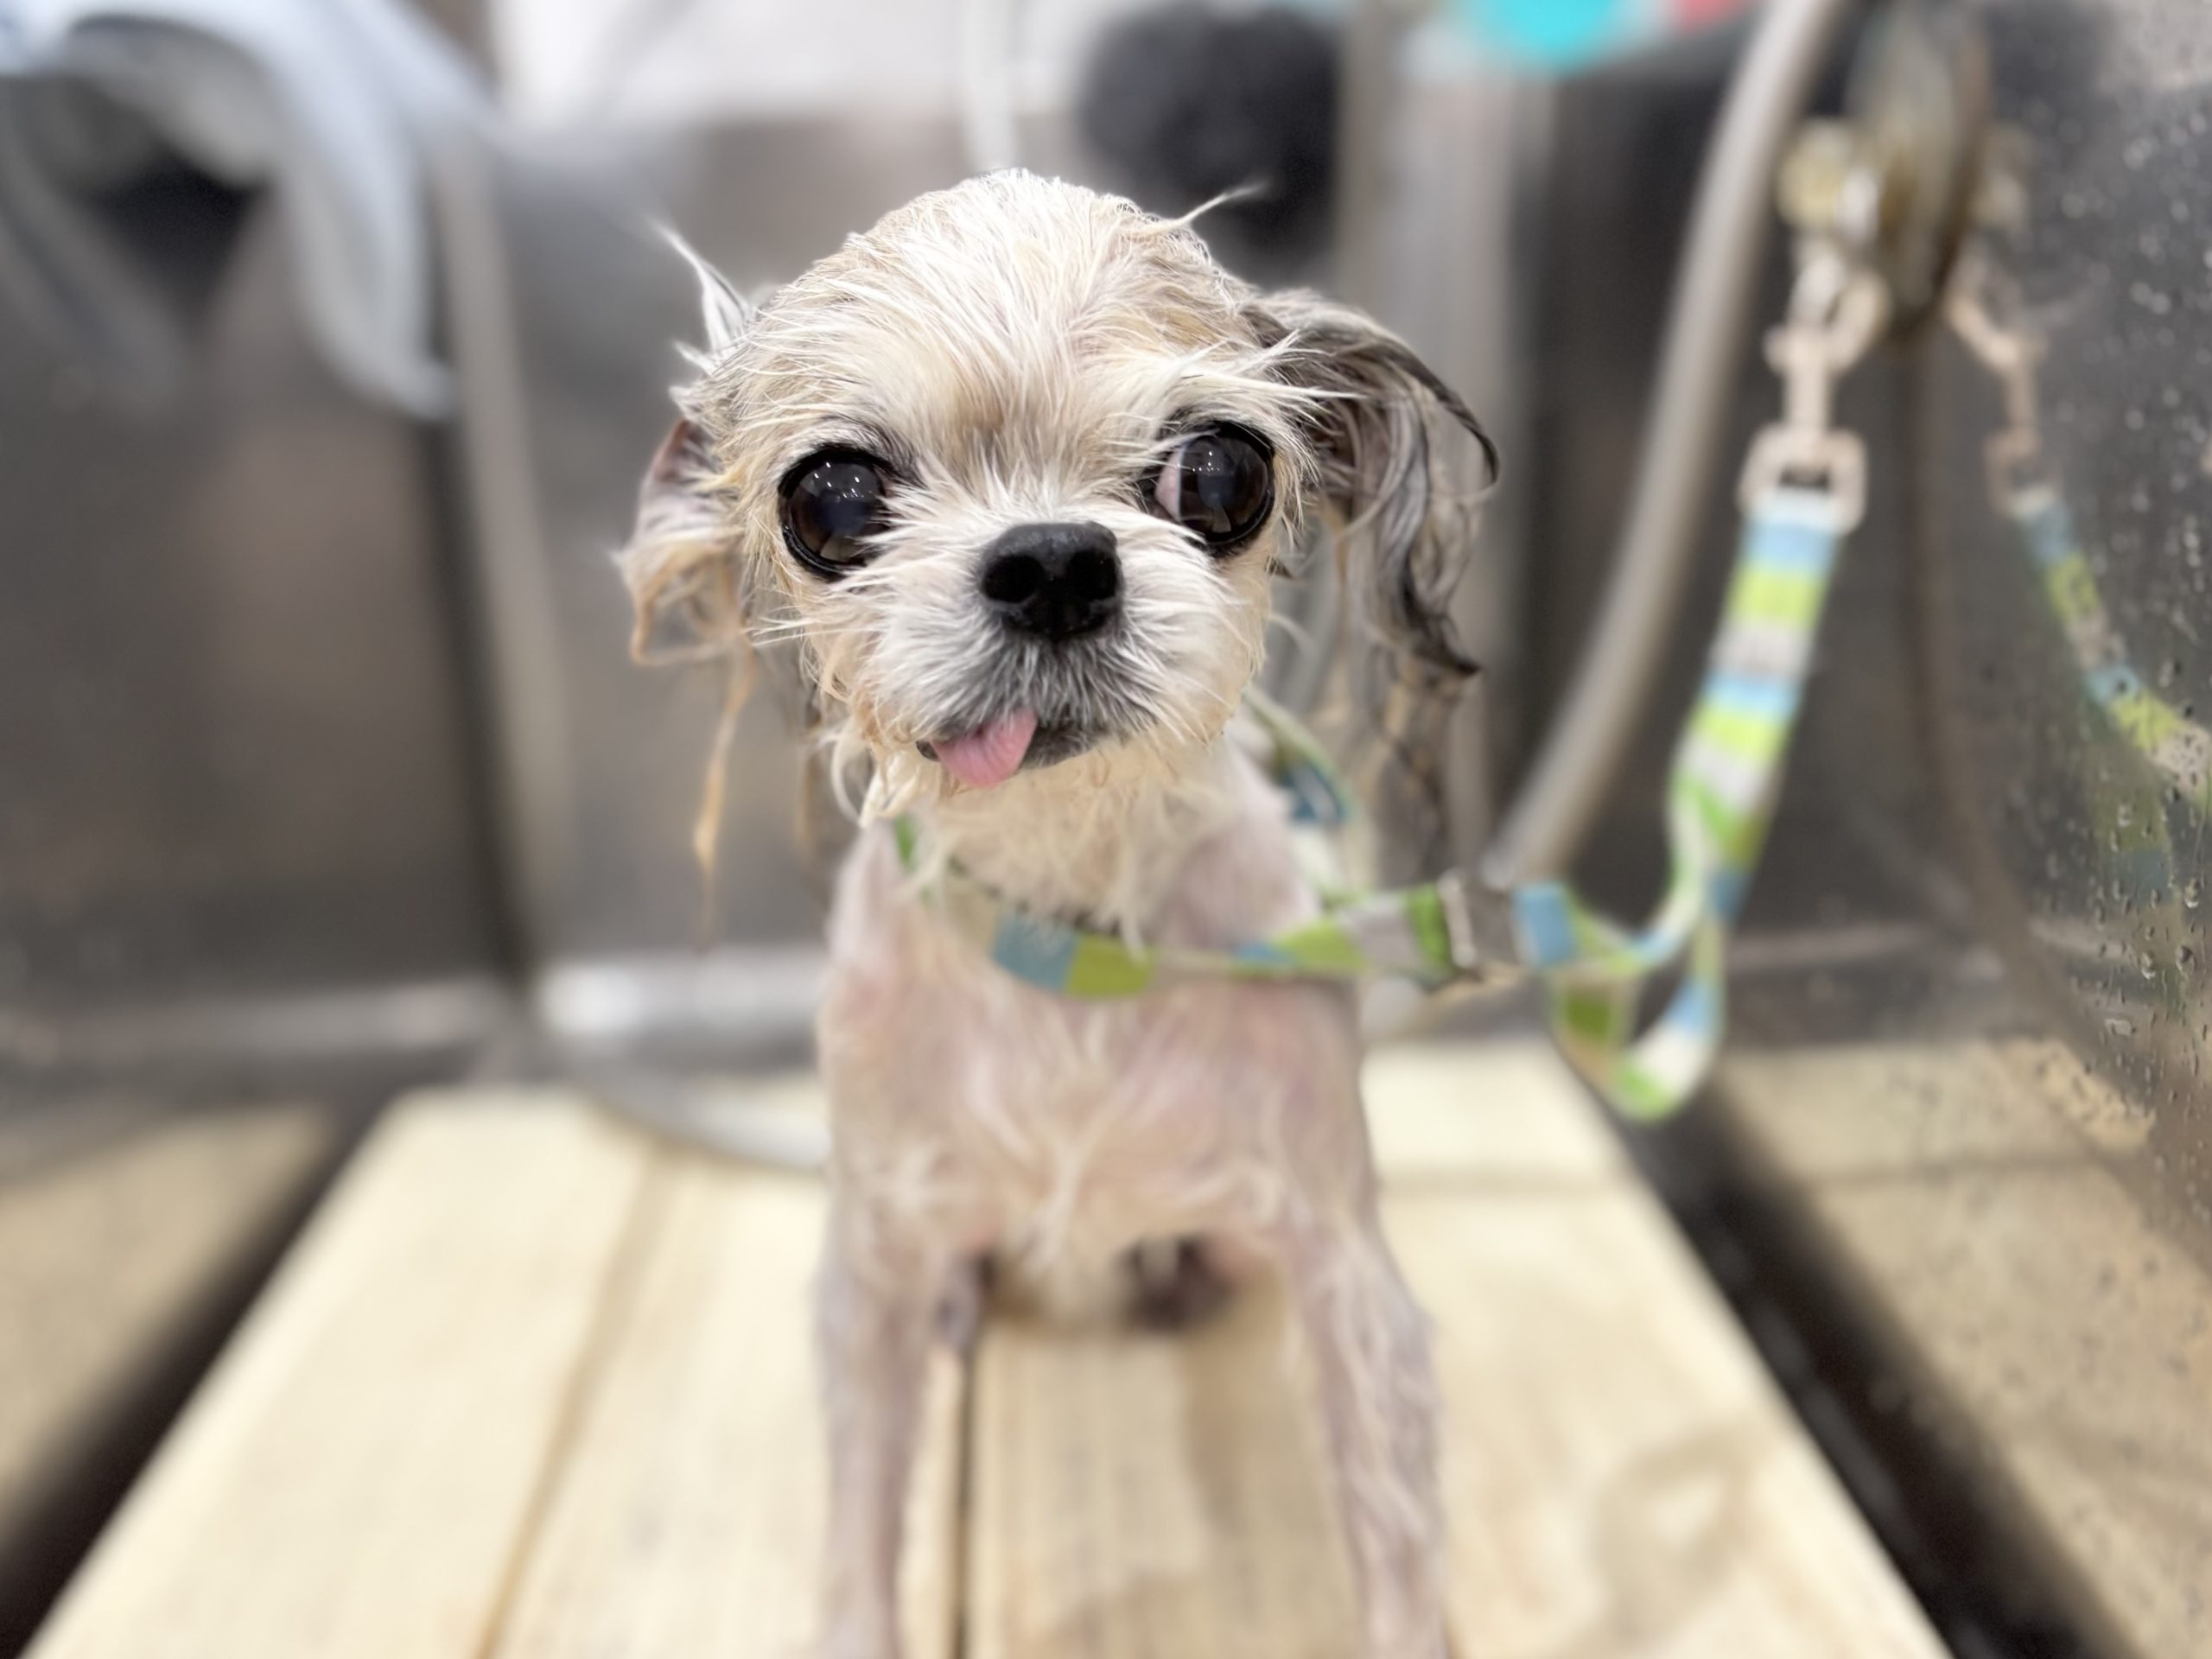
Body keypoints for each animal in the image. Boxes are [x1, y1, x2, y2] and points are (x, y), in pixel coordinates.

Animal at [620, 171, 1491, 1659]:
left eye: (1221, 472)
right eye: (833, 496)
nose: (1050, 562)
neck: (1072, 927)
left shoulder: (1345, 1274)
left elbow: (1394, 1543)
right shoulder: (867, 1274)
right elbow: (862, 1525)